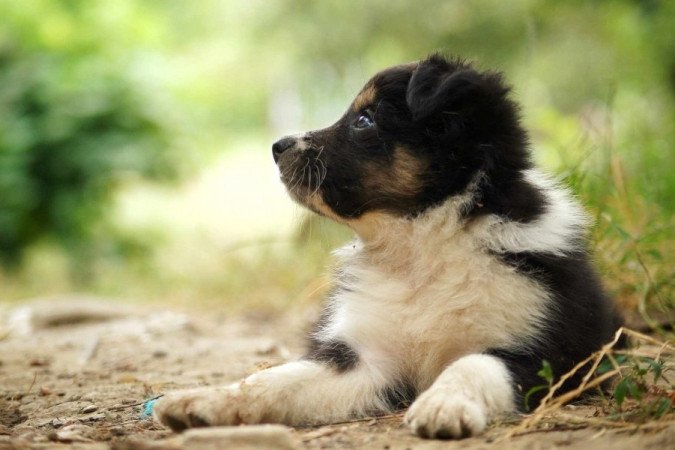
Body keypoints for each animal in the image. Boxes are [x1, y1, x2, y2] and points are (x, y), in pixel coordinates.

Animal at [153, 54, 624, 438]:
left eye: (365, 120)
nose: (277, 146)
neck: (420, 245)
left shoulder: (546, 351)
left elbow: (473, 364)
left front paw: (442, 405)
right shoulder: (366, 357)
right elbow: (278, 379)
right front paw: (209, 399)